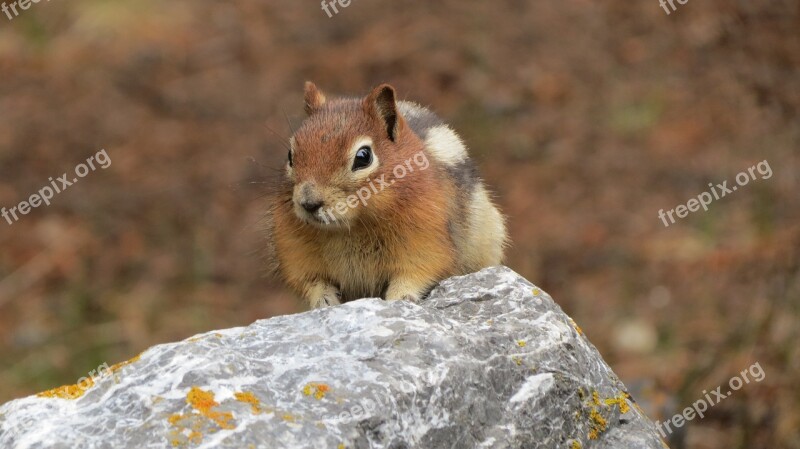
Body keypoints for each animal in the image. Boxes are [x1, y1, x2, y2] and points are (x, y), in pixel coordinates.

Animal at [266, 82, 510, 308]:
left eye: (363, 157)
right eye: (290, 155)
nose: (308, 203)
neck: (352, 228)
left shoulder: (425, 242)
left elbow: (416, 273)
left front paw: (400, 297)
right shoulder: (296, 251)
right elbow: (312, 282)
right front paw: (323, 300)